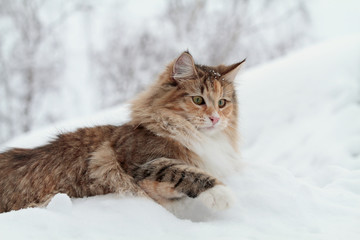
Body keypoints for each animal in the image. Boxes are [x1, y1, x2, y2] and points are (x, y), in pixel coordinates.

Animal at [0, 51, 245, 215]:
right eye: (198, 100)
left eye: (222, 103)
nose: (215, 118)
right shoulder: (140, 165)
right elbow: (182, 171)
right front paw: (221, 194)